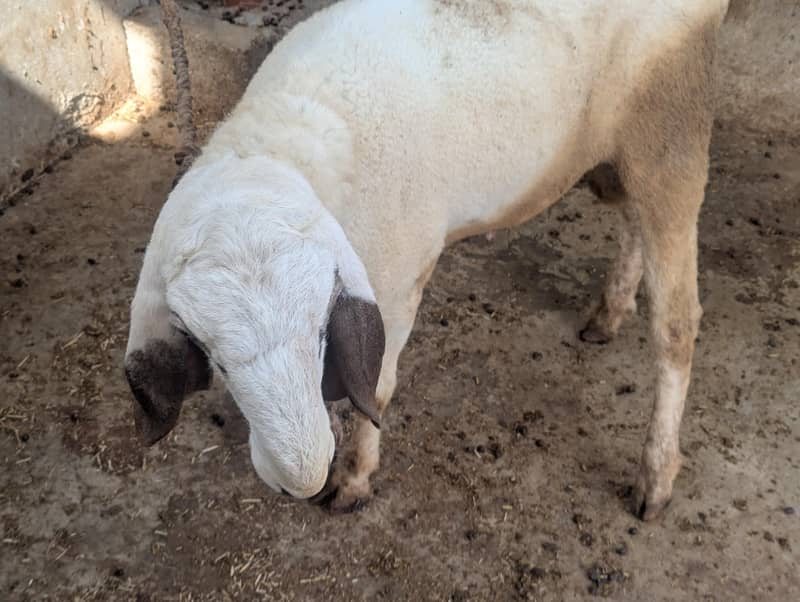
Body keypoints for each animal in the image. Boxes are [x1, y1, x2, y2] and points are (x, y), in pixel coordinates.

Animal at [125, 0, 734, 519]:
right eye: (215, 359)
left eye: (320, 333)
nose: (302, 478)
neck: (292, 135)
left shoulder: (396, 282)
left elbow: (376, 387)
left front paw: (354, 478)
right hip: (617, 154)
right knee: (633, 224)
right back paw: (609, 311)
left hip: (671, 134)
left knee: (677, 327)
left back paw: (656, 476)